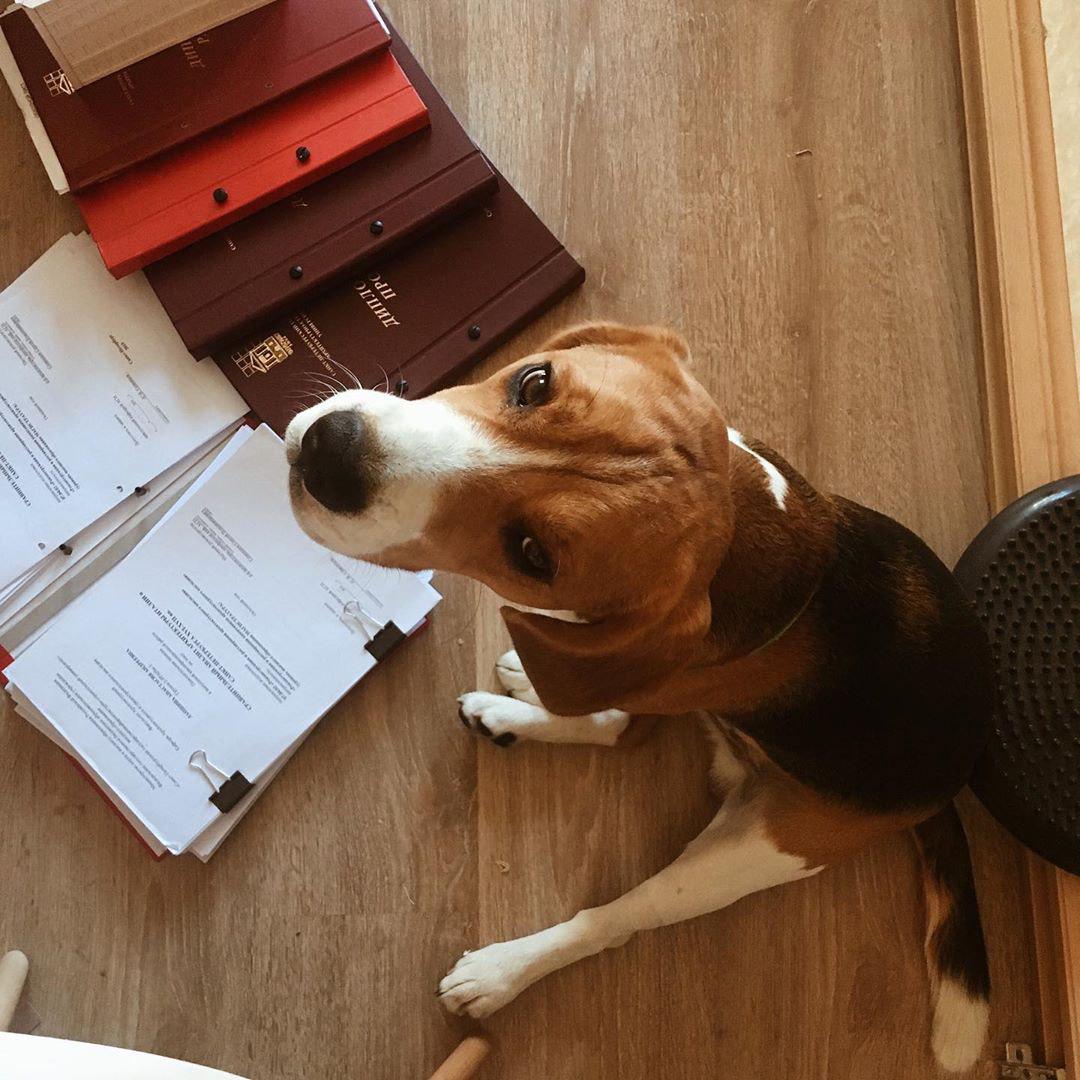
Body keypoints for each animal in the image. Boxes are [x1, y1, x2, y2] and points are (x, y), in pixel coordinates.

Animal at [282, 319, 989, 1071]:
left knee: (620, 912)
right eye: (534, 383)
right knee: (619, 724)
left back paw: (501, 971)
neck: (751, 543)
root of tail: (951, 777)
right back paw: (513, 701)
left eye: (532, 553)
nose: (331, 450)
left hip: (757, 852)